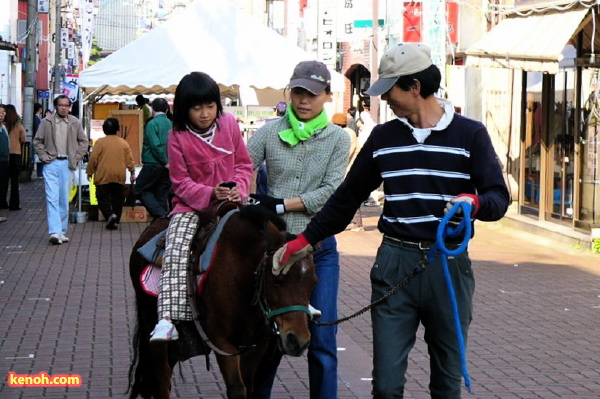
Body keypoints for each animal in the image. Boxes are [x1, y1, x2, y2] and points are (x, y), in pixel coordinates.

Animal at [127, 206, 318, 399]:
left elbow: (248, 386)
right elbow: (237, 389)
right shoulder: (222, 341)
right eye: (276, 280)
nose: (298, 341)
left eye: (313, 283)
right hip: (151, 324)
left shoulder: (258, 344)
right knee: (162, 377)